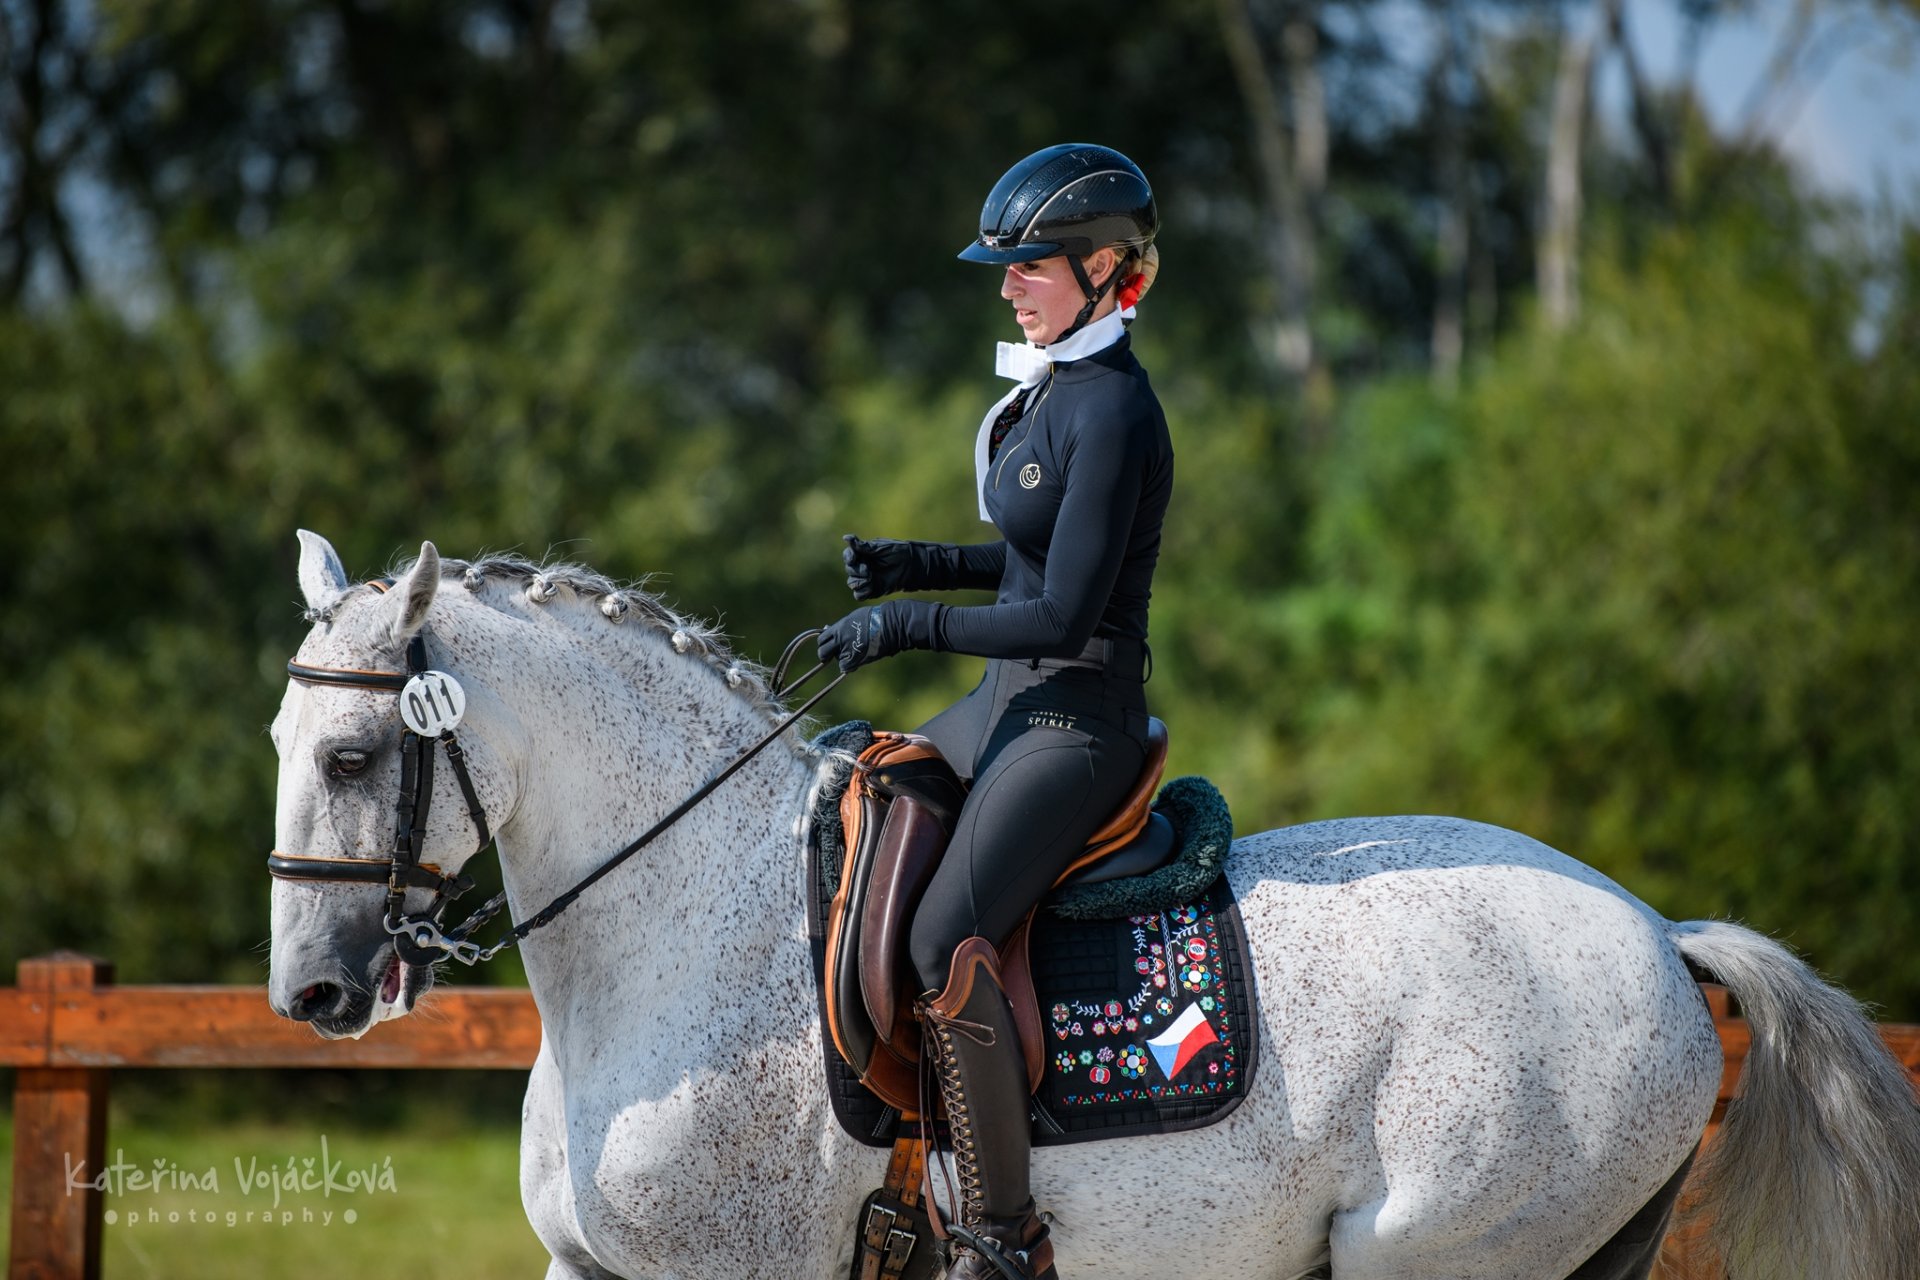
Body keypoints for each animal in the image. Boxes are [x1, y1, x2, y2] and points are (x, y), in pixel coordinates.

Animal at [266, 537, 1920, 1280]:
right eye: (281, 741)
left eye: (351, 755)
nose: (313, 997)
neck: (685, 931)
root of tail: (1657, 935)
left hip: (1448, 1251)